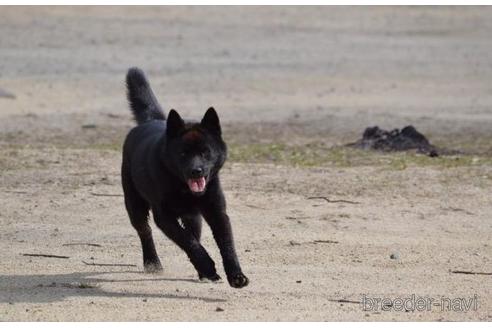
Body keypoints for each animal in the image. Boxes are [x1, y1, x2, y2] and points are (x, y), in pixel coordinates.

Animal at [120, 68, 250, 288]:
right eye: (183, 153)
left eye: (206, 152)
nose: (196, 171)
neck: (182, 188)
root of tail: (151, 121)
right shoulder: (164, 217)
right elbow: (187, 241)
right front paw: (208, 267)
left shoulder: (217, 212)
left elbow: (226, 245)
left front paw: (236, 276)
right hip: (134, 205)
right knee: (145, 231)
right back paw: (153, 262)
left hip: (193, 217)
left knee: (194, 233)